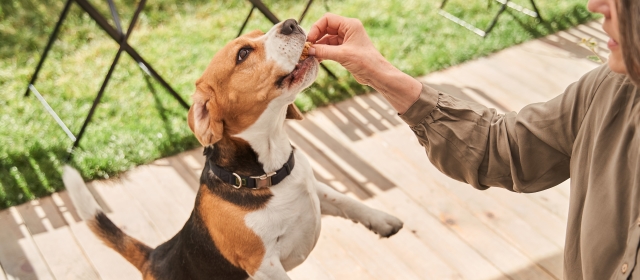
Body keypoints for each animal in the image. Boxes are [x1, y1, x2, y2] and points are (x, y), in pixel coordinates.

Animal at [66, 18, 404, 278]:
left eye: (258, 33)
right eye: (243, 54)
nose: (291, 23)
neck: (268, 170)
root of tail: (155, 256)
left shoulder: (313, 188)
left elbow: (345, 200)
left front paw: (381, 220)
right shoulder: (264, 265)